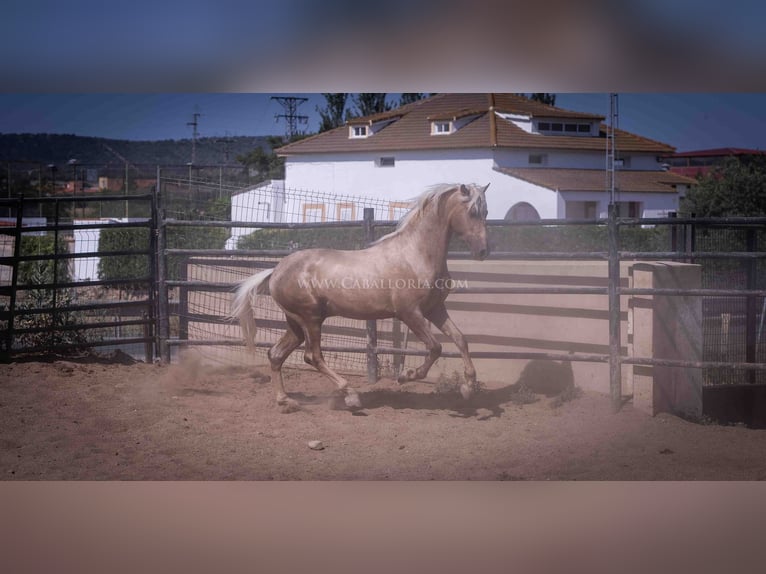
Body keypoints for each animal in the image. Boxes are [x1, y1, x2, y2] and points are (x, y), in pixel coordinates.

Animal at [231, 182, 492, 412]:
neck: (415, 255)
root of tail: (275, 271)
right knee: (312, 356)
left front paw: (468, 388)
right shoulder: (409, 313)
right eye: (472, 211)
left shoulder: (435, 309)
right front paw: (406, 376)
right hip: (310, 319)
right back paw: (351, 396)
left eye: (486, 212)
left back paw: (287, 401)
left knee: (276, 355)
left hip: (296, 323)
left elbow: (460, 340)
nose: (483, 252)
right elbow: (435, 347)